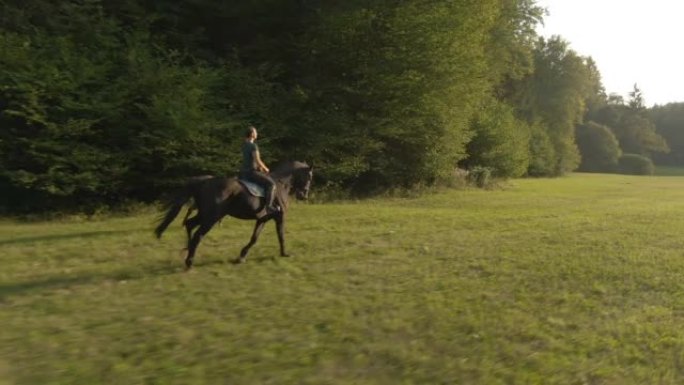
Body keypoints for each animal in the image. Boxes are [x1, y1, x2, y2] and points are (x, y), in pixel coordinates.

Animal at [155, 160, 312, 268]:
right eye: (309, 177)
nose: (303, 196)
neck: (280, 185)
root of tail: (205, 181)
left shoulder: (263, 219)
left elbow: (254, 238)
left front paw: (241, 256)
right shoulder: (279, 217)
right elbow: (281, 235)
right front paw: (284, 253)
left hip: (204, 214)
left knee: (189, 224)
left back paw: (187, 250)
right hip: (211, 217)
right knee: (198, 235)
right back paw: (189, 261)